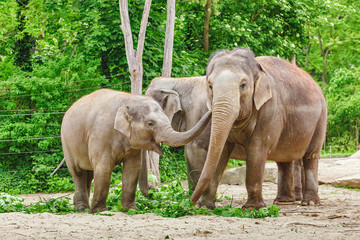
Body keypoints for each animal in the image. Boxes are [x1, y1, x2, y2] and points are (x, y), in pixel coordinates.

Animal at [59, 89, 211, 213]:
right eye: (150, 124)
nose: (210, 110)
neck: (128, 100)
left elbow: (132, 169)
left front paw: (130, 209)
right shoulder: (100, 134)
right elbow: (103, 168)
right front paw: (99, 211)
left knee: (88, 174)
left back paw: (79, 205)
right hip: (66, 142)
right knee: (78, 173)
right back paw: (82, 208)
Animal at [190, 47, 328, 209]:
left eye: (243, 85)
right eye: (210, 86)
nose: (191, 203)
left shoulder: (270, 109)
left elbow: (256, 150)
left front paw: (253, 207)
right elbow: (221, 151)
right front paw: (206, 206)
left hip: (321, 119)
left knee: (311, 157)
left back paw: (310, 202)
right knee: (284, 159)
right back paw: (283, 201)